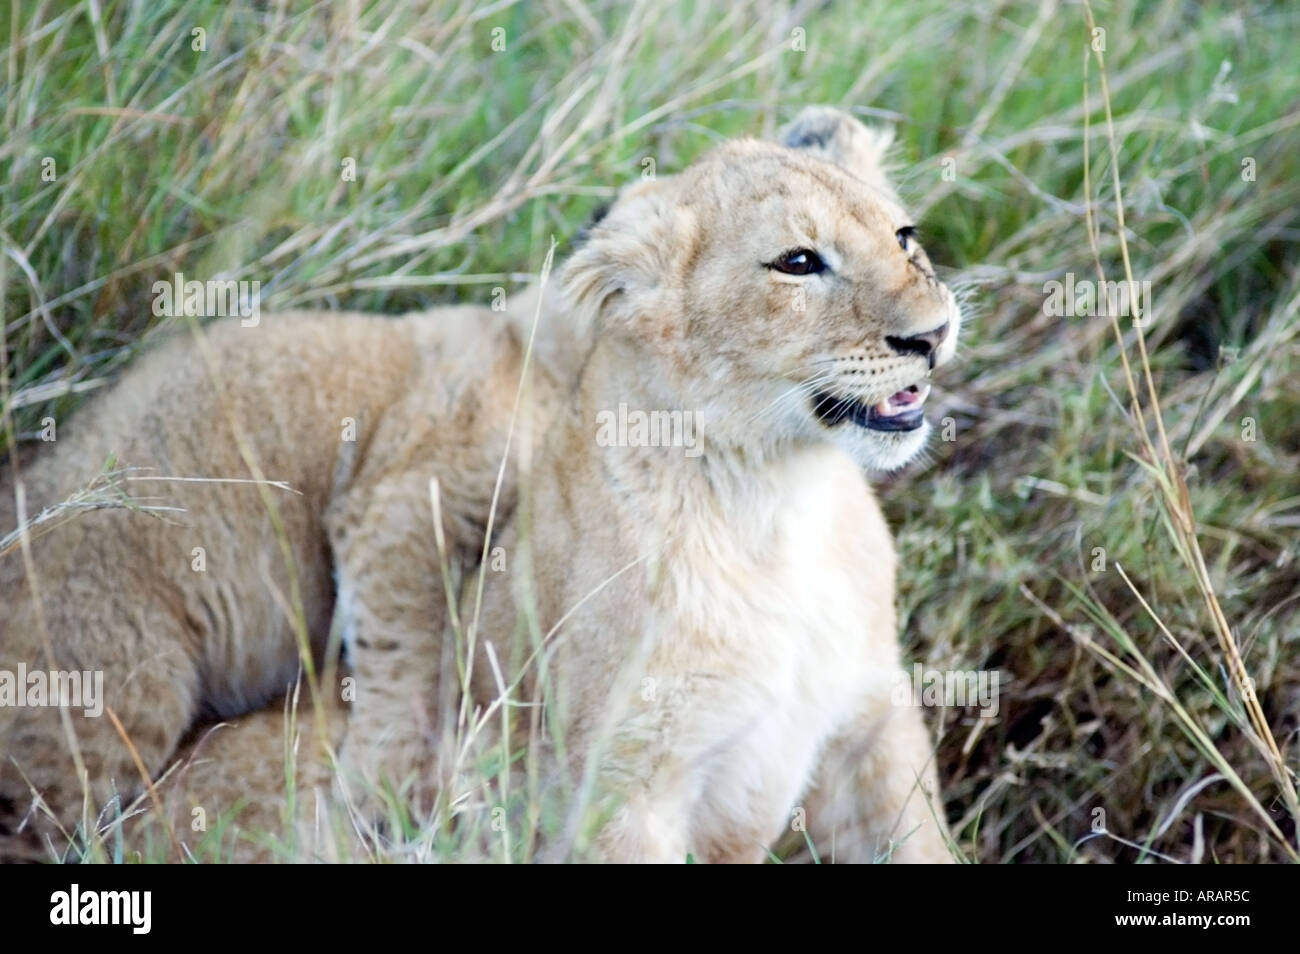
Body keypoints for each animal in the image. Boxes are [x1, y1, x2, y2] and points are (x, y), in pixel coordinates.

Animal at [1, 107, 960, 863]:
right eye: (797, 263)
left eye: (906, 238)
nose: (934, 332)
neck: (780, 500)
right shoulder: (621, 787)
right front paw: (389, 780)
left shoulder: (873, 725)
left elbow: (918, 839)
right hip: (113, 672)